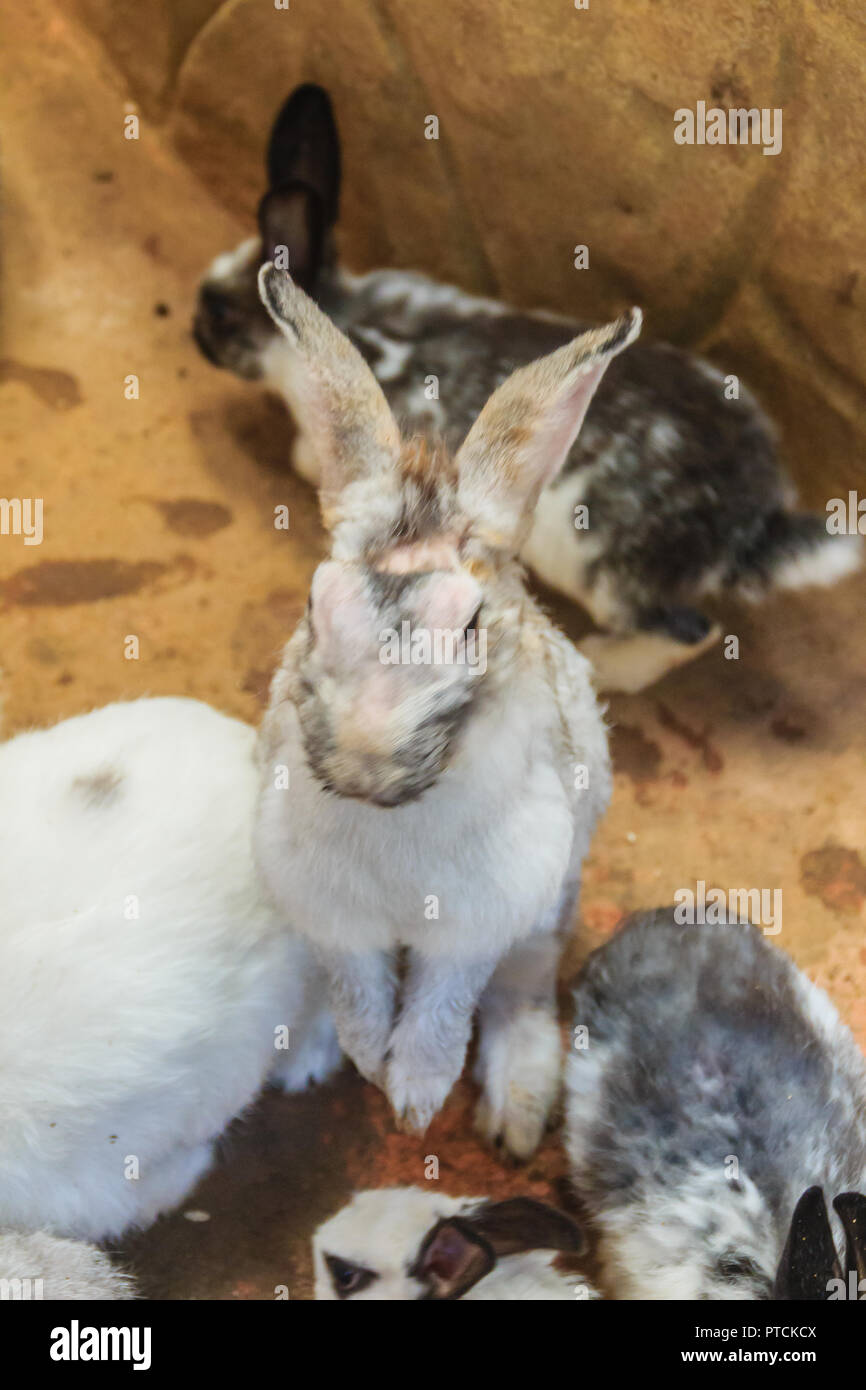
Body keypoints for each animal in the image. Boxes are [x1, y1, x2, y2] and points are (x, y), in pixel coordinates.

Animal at [194, 84, 862, 694]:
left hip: (608, 575)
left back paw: (604, 664)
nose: (194, 333)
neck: (341, 314)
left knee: (691, 631)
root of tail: (757, 519)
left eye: (220, 312)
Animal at [253, 263, 632, 1158]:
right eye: (315, 605)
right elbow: (358, 993)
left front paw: (415, 1099)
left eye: (468, 624)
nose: (362, 760)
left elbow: (439, 1011)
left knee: (520, 994)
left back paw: (517, 1114)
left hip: (547, 913)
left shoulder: (474, 925)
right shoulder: (331, 917)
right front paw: (365, 1061)